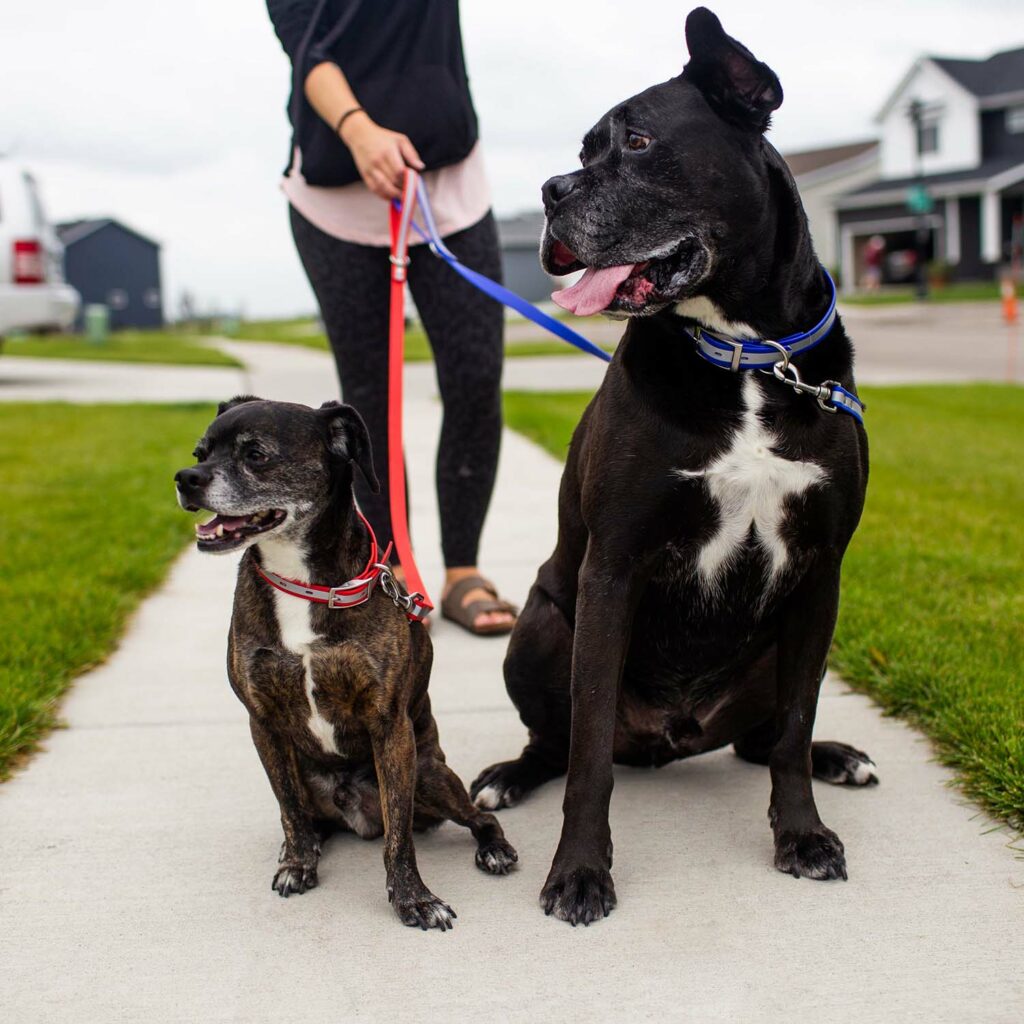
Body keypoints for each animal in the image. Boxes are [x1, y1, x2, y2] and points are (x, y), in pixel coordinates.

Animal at [468, 6, 876, 929]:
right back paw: (507, 777)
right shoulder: (612, 570)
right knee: (556, 739)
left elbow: (794, 726)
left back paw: (839, 756)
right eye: (582, 151)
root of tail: (673, 737)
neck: (749, 356)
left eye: (640, 141)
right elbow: (587, 756)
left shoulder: (823, 572)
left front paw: (803, 835)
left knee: (764, 737)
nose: (552, 192)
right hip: (541, 624)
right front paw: (580, 872)